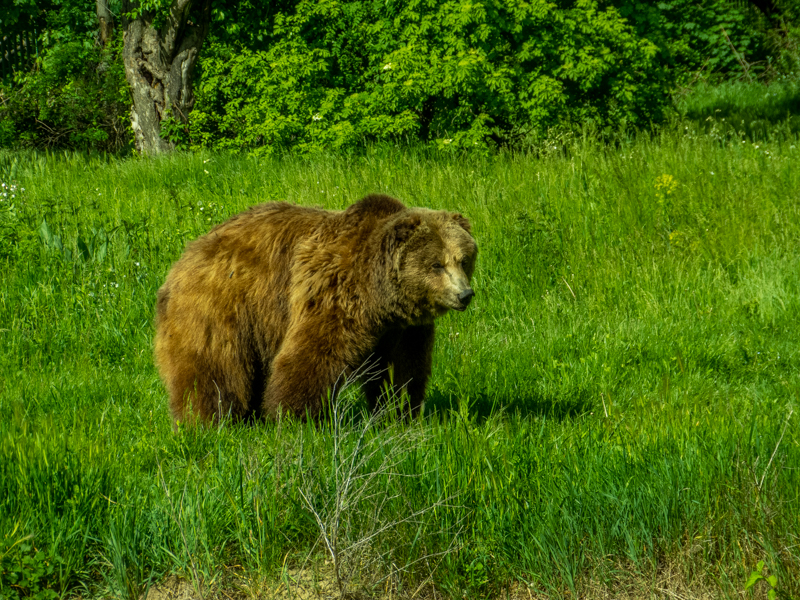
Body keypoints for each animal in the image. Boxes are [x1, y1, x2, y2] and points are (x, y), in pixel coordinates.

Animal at [154, 193, 477, 424]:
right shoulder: (333, 292)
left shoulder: (405, 328)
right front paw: (295, 416)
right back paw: (207, 420)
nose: (465, 294)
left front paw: (401, 411)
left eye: (463, 259)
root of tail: (187, 253)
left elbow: (405, 368)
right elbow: (313, 354)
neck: (379, 296)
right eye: (436, 264)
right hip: (221, 305)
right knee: (212, 365)